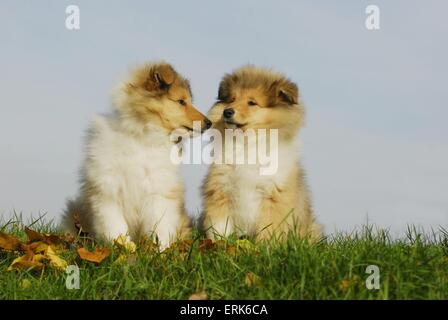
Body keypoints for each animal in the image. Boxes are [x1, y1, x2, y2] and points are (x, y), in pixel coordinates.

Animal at [61, 62, 214, 248]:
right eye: (181, 101)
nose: (209, 123)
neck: (143, 137)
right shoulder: (107, 190)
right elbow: (115, 225)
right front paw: (124, 248)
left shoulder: (158, 191)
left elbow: (160, 227)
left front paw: (160, 250)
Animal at [202, 64, 322, 240]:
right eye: (232, 99)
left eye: (252, 103)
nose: (227, 112)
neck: (247, 143)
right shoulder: (220, 189)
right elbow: (220, 225)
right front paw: (218, 243)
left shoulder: (274, 195)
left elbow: (269, 229)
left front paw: (265, 244)